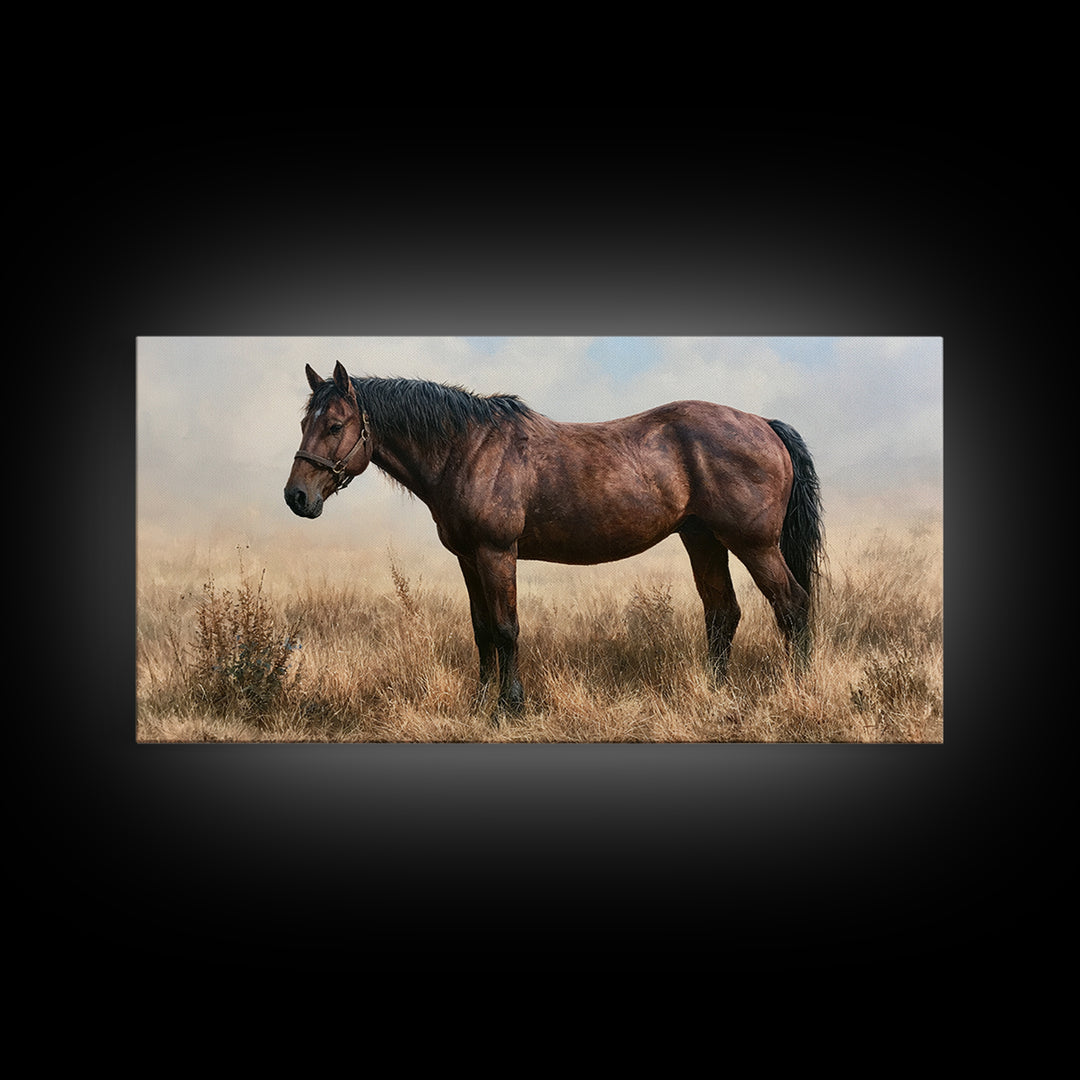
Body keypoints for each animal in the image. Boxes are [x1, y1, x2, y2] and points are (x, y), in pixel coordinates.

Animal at [284, 361, 825, 715]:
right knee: (722, 614)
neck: (469, 449)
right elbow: (482, 631)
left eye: (335, 425)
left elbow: (507, 629)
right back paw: (715, 692)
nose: (297, 497)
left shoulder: (497, 554)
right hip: (704, 540)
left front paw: (510, 707)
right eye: (305, 421)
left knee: (792, 605)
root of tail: (764, 425)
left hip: (754, 544)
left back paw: (795, 689)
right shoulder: (468, 559)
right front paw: (479, 704)